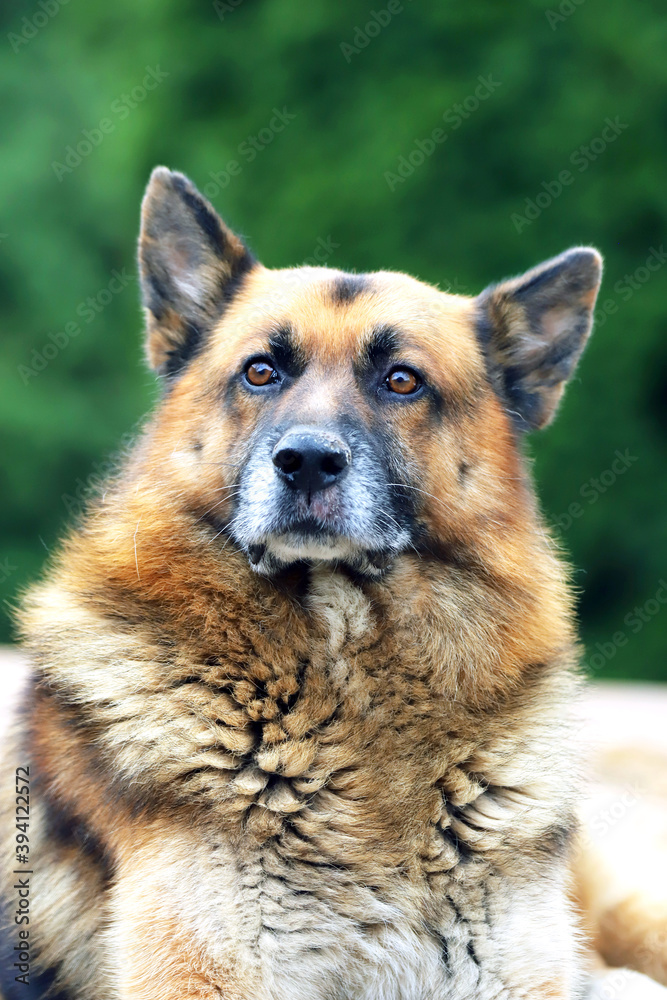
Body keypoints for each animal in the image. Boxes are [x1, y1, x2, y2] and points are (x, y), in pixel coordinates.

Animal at [1, 168, 664, 996]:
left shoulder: (515, 971)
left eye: (401, 381)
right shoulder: (208, 974)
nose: (307, 461)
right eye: (260, 371)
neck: (346, 668)